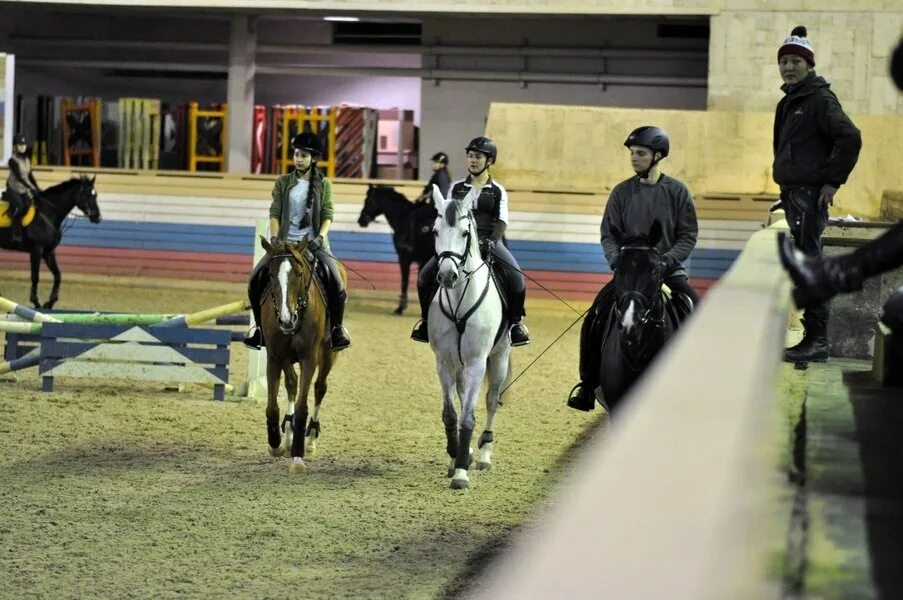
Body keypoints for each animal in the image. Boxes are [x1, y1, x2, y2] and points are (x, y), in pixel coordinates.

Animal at [0, 175, 101, 310]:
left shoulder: (48, 251)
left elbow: (58, 275)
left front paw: (50, 302)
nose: (97, 217)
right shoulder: (36, 250)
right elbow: (35, 276)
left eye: (95, 195)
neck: (46, 214)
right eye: (86, 195)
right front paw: (36, 302)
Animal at [262, 237, 346, 472]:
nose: (286, 320)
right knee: (292, 383)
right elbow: (273, 406)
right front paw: (276, 444)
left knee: (319, 388)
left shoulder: (309, 357)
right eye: (270, 275)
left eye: (299, 274)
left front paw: (298, 455)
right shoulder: (275, 356)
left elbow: (302, 407)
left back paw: (310, 440)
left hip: (327, 354)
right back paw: (288, 435)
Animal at [358, 183, 436, 314]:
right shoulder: (422, 262)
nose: (361, 221)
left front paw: (400, 308)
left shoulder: (404, 259)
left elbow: (405, 282)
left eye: (368, 201)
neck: (402, 218)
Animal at [430, 186, 512, 488]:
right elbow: (450, 414)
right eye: (435, 231)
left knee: (490, 400)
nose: (447, 276)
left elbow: (468, 418)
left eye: (466, 232)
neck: (459, 303)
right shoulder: (443, 362)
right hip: (460, 365)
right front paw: (455, 458)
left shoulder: (477, 362)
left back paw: (484, 454)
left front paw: (462, 474)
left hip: (499, 357)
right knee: (465, 393)